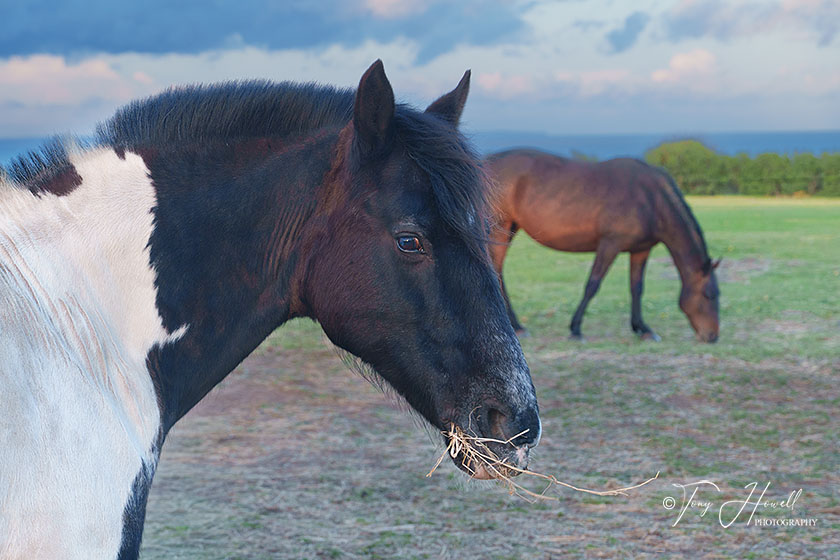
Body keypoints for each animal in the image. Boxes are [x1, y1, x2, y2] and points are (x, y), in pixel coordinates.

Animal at [486, 148, 720, 343]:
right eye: (708, 295)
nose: (712, 336)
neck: (651, 199)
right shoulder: (610, 245)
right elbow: (593, 284)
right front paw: (576, 329)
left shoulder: (641, 250)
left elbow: (637, 288)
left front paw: (643, 329)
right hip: (500, 227)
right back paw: (517, 326)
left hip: (510, 227)